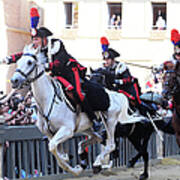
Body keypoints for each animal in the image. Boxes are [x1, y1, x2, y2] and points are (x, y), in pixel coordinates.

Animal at [10, 44, 141, 176]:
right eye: (18, 62)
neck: (47, 100)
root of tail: (117, 95)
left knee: (111, 145)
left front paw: (73, 169)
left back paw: (96, 163)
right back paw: (85, 160)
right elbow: (58, 152)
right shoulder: (51, 134)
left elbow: (53, 149)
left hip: (110, 122)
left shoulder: (67, 130)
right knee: (95, 139)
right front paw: (73, 162)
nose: (14, 80)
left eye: (29, 62)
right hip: (87, 128)